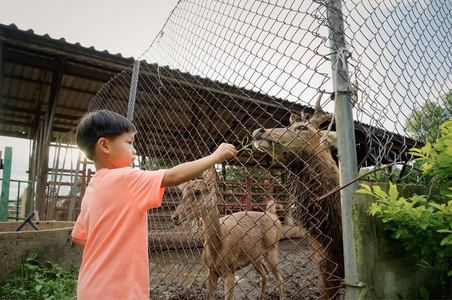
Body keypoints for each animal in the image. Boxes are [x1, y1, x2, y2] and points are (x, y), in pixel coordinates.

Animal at [171, 169, 284, 300]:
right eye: (182, 193)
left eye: (197, 191)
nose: (174, 217)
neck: (218, 248)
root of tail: (273, 215)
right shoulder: (210, 270)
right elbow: (209, 296)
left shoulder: (230, 269)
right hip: (255, 256)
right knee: (265, 274)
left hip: (272, 247)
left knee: (279, 277)